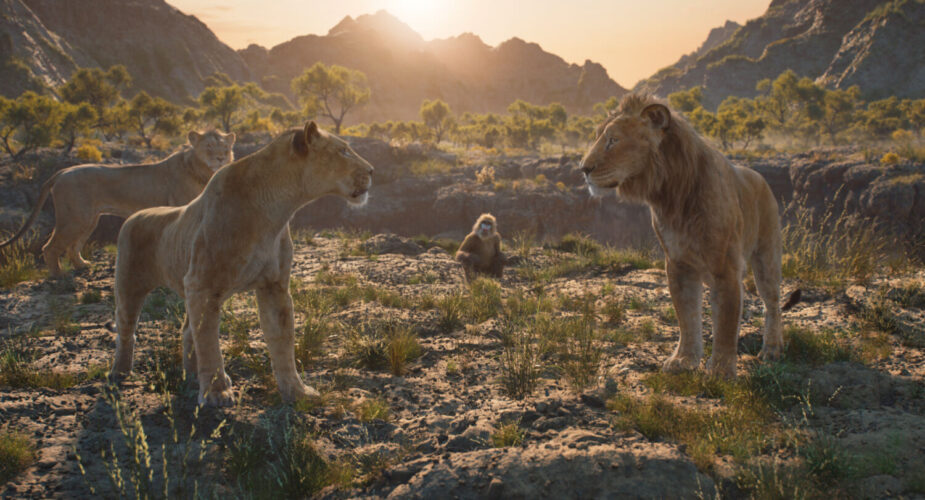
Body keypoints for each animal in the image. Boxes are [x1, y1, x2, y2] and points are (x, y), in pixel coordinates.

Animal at [0, 129, 235, 276]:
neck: (201, 171)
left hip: (88, 220)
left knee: (73, 247)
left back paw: (82, 265)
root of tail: (62, 172)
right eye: (209, 146)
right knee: (50, 247)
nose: (221, 158)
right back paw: (59, 277)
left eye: (225, 147)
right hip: (74, 218)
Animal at [113, 122, 374, 406]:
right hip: (130, 284)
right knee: (127, 328)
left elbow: (282, 340)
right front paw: (216, 393)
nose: (372, 170)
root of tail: (134, 216)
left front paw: (297, 391)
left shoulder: (274, 286)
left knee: (187, 331)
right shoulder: (202, 284)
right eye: (343, 151)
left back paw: (193, 376)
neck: (275, 210)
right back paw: (120, 373)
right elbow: (209, 342)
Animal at [576, 94, 788, 376]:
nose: (583, 169)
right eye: (601, 137)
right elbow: (687, 316)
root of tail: (759, 176)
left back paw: (772, 350)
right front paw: (684, 360)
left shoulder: (726, 267)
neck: (671, 196)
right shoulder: (678, 264)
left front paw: (721, 370)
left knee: (772, 303)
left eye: (613, 140)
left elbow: (726, 321)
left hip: (767, 256)